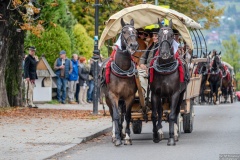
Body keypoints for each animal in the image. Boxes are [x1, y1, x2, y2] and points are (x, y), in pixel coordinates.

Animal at [100, 18, 138, 146]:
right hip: (107, 99)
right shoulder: (113, 96)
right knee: (113, 114)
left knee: (122, 115)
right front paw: (117, 138)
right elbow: (116, 116)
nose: (133, 45)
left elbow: (127, 116)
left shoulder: (129, 97)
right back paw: (114, 134)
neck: (123, 70)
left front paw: (127, 137)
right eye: (124, 31)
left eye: (135, 31)